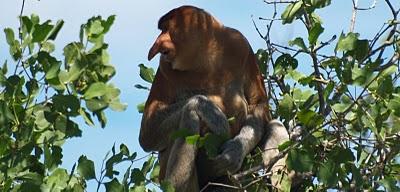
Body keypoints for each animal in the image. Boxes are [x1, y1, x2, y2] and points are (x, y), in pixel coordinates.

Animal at [139, 5, 290, 191]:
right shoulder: (165, 68)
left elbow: (258, 103)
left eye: (166, 29)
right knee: (189, 116)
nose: (158, 43)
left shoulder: (241, 45)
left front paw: (234, 151)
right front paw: (212, 111)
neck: (205, 59)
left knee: (275, 126)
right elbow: (148, 133)